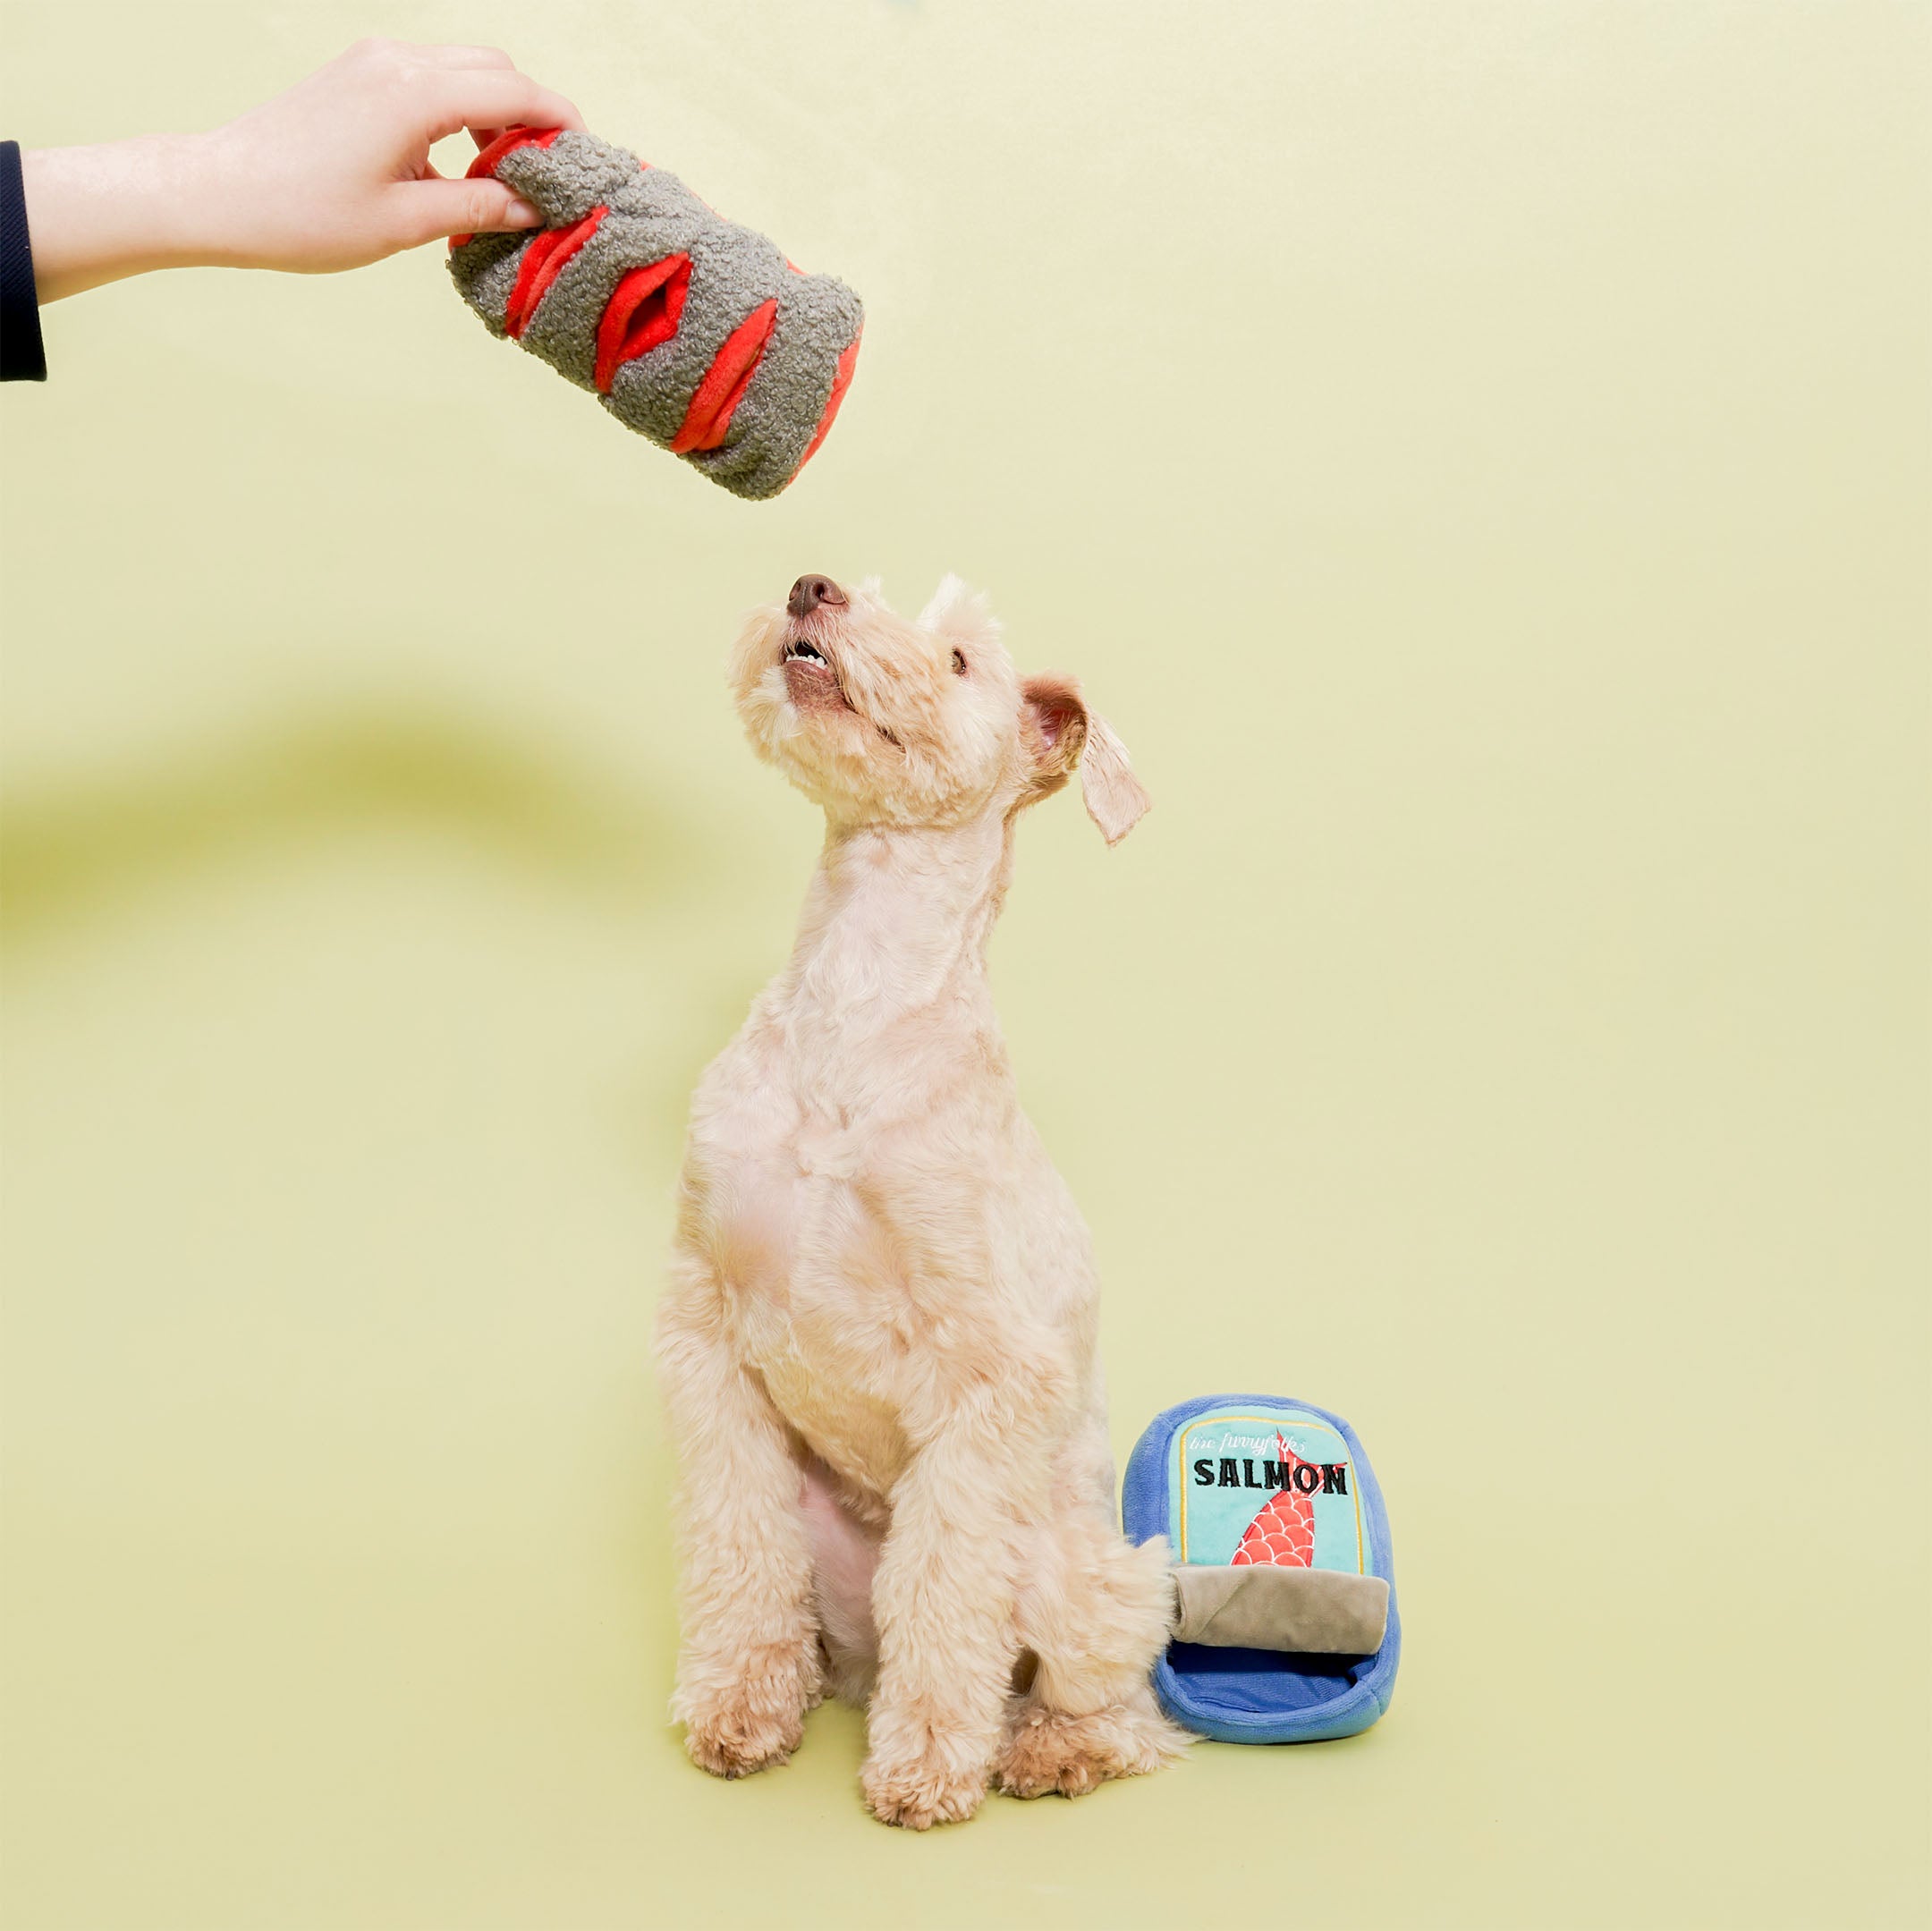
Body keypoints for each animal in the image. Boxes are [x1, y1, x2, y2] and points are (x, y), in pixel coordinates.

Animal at [657, 567, 1182, 1823]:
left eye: (958, 659)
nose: (812, 585)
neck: (857, 993)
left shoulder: (986, 1380)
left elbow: (945, 1595)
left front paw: (928, 1766)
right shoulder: (709, 1332)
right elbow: (735, 1551)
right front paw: (735, 1707)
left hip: (1076, 1568)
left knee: (1115, 1691)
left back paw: (1048, 1747)